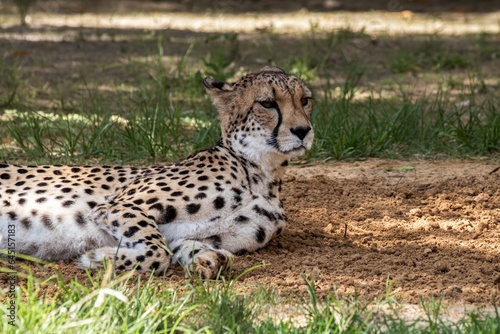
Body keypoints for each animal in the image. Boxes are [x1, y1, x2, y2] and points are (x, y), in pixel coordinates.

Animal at [0, 66, 312, 278]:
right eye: (267, 103)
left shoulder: (192, 236)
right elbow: (157, 251)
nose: (303, 130)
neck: (262, 172)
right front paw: (101, 258)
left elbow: (188, 248)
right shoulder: (118, 206)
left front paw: (209, 260)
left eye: (305, 100)